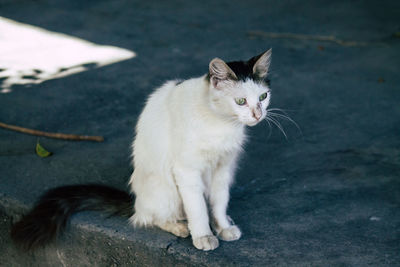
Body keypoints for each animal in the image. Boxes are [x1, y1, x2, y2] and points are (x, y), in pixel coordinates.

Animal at [11, 49, 272, 252]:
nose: (258, 115)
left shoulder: (223, 168)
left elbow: (219, 202)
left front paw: (222, 227)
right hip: (167, 189)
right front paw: (204, 236)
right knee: (151, 217)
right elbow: (197, 208)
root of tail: (136, 200)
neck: (222, 124)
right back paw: (180, 226)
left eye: (263, 96)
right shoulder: (187, 170)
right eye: (240, 102)